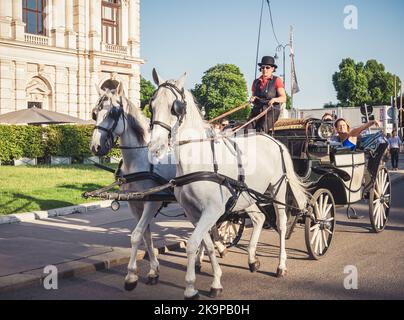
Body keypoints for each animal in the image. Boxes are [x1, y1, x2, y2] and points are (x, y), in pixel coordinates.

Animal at [148, 69, 310, 298]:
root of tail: (275, 141)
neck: (198, 161)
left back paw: (281, 265)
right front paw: (215, 279)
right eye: (151, 104)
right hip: (247, 195)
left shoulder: (213, 210)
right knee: (259, 218)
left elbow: (193, 243)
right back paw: (252, 260)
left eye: (175, 107)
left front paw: (190, 287)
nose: (155, 147)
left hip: (277, 190)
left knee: (281, 223)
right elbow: (206, 242)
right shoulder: (194, 212)